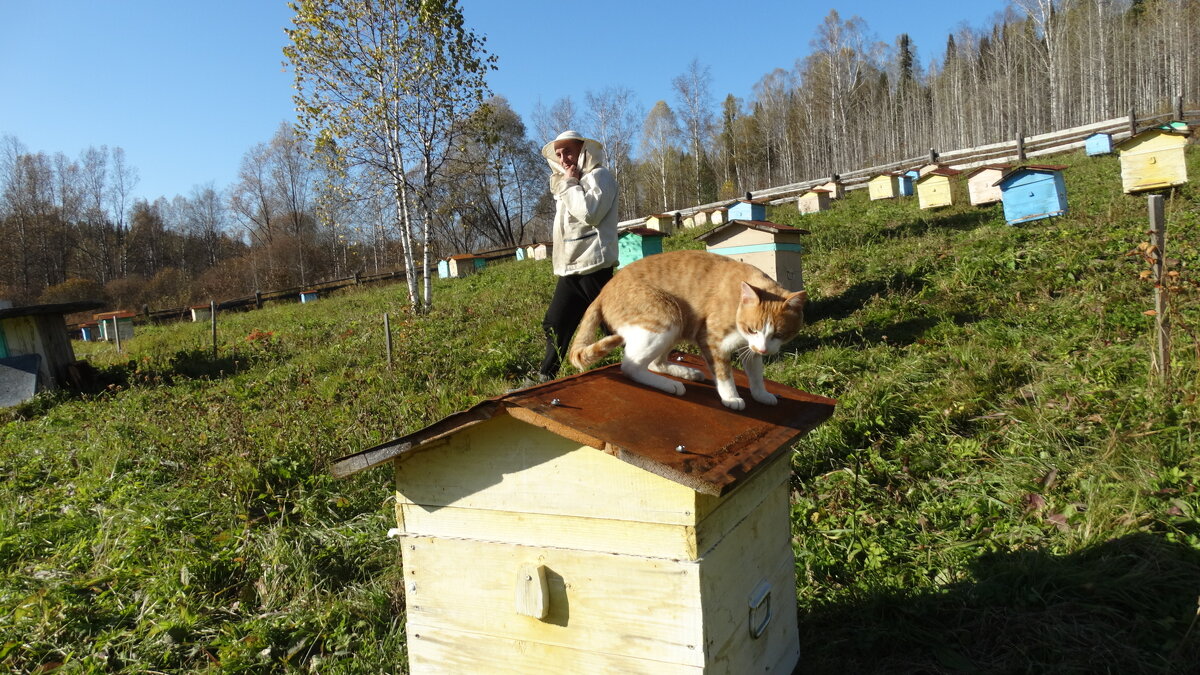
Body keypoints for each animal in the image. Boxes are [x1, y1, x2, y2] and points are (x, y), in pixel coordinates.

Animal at [564, 247, 806, 403]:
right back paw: (671, 385)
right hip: (667, 316)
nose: (764, 349)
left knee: (655, 363)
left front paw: (761, 394)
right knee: (631, 366)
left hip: (677, 327)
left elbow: (755, 372)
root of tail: (603, 291)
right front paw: (731, 397)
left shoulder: (750, 347)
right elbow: (724, 373)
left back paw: (686, 373)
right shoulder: (711, 339)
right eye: (752, 329)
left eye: (779, 334)